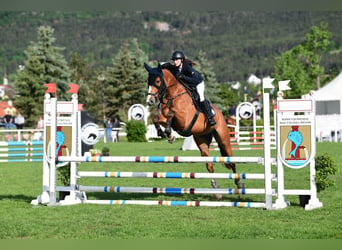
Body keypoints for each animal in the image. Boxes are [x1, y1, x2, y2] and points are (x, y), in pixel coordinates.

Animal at [143, 61, 244, 198]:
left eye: (158, 81)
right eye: (148, 81)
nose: (150, 101)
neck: (173, 95)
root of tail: (220, 113)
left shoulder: (184, 120)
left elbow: (171, 114)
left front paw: (169, 133)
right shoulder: (165, 117)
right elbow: (156, 118)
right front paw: (167, 134)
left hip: (223, 138)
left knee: (231, 160)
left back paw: (239, 184)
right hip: (202, 140)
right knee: (209, 164)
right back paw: (216, 190)